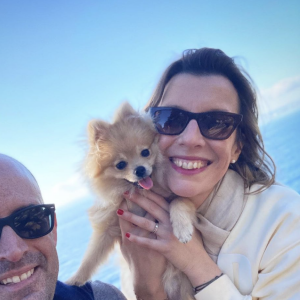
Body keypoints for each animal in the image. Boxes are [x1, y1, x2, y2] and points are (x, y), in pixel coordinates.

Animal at [67, 102, 198, 298]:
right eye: (121, 165)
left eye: (145, 152)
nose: (140, 169)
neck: (138, 193)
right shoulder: (109, 225)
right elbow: (92, 255)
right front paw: (76, 279)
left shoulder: (180, 198)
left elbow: (179, 202)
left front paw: (182, 230)